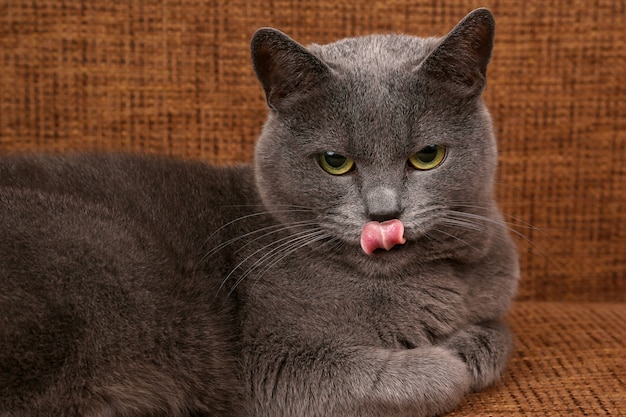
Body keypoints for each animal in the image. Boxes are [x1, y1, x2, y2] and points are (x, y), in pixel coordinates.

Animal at [0, 7, 516, 416]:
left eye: (427, 156)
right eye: (335, 162)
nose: (383, 213)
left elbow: (501, 334)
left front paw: (471, 342)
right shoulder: (272, 362)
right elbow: (428, 376)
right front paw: (450, 358)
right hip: (107, 250)